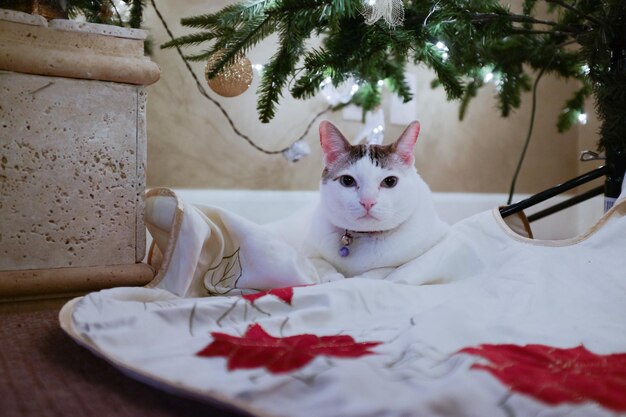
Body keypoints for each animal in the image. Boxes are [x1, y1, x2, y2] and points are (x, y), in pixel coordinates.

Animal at [304, 118, 446, 278]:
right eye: (347, 180)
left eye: (390, 181)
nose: (367, 202)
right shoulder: (308, 250)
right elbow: (321, 264)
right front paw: (333, 277)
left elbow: (383, 271)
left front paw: (360, 278)